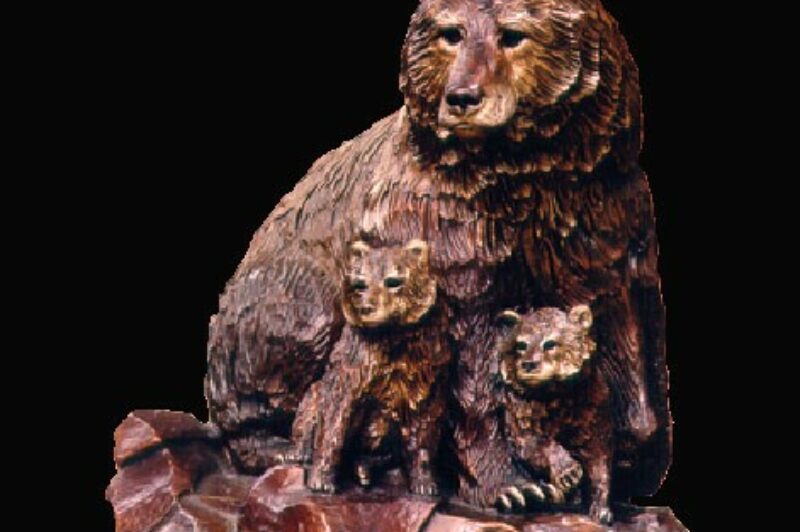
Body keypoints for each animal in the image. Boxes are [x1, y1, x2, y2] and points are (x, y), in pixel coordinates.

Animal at [289, 239, 451, 495]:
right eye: (360, 284)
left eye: (393, 281)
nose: (366, 308)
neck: (391, 336)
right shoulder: (353, 370)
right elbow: (333, 423)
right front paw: (321, 480)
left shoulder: (426, 373)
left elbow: (423, 431)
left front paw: (425, 483)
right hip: (315, 394)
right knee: (309, 407)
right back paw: (298, 453)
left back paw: (364, 469)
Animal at [492, 305, 613, 524]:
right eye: (521, 344)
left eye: (550, 343)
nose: (529, 364)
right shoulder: (520, 419)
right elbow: (538, 444)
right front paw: (568, 471)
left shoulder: (596, 416)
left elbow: (600, 463)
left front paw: (601, 507)